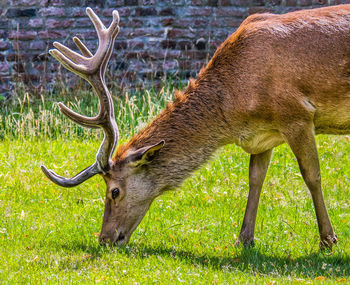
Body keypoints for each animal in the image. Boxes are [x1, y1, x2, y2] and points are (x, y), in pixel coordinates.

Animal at [41, 5, 350, 248]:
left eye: (114, 191)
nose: (104, 238)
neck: (237, 107)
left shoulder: (296, 114)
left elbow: (312, 175)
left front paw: (328, 239)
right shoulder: (263, 136)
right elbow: (255, 179)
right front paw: (244, 239)